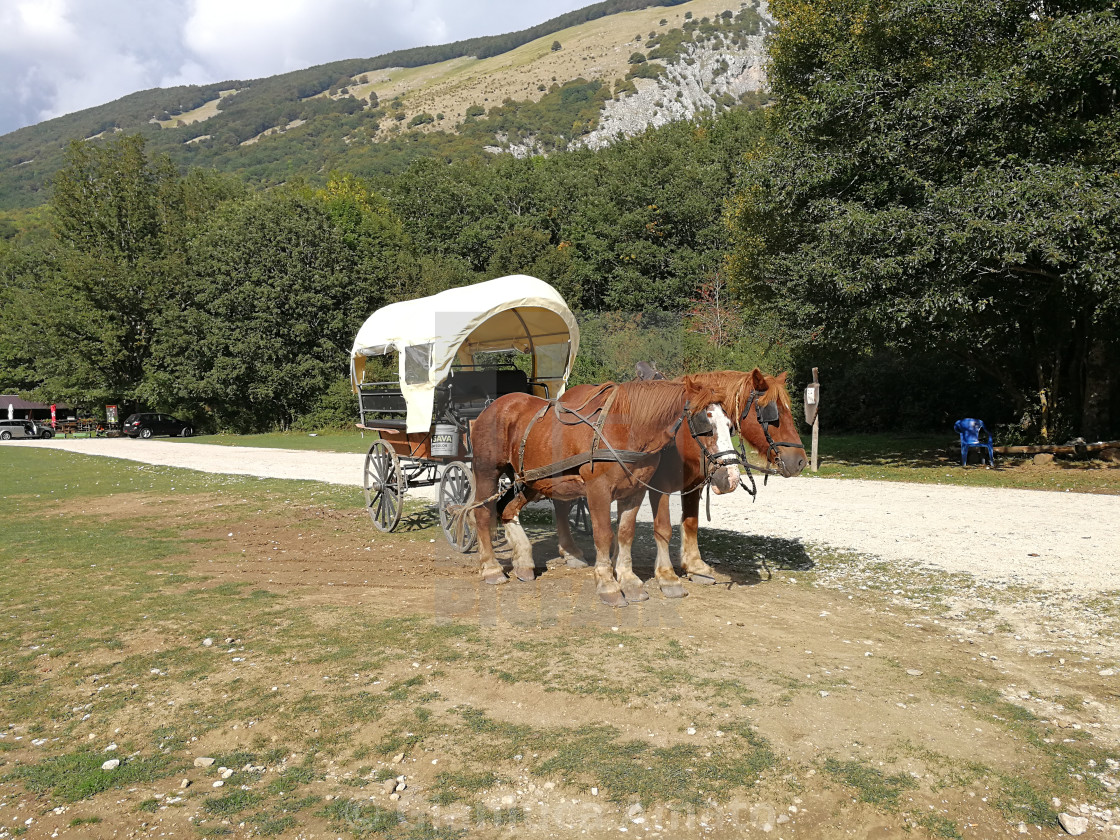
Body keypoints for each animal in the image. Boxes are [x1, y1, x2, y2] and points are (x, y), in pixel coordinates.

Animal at [468, 380, 721, 604]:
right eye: (705, 421)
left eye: (727, 422)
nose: (722, 469)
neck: (627, 429)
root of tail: (494, 406)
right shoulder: (598, 490)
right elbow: (603, 535)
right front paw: (608, 584)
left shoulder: (635, 491)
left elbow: (625, 533)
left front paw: (629, 581)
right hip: (488, 472)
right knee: (482, 513)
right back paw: (491, 567)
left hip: (531, 480)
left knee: (506, 509)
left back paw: (523, 561)